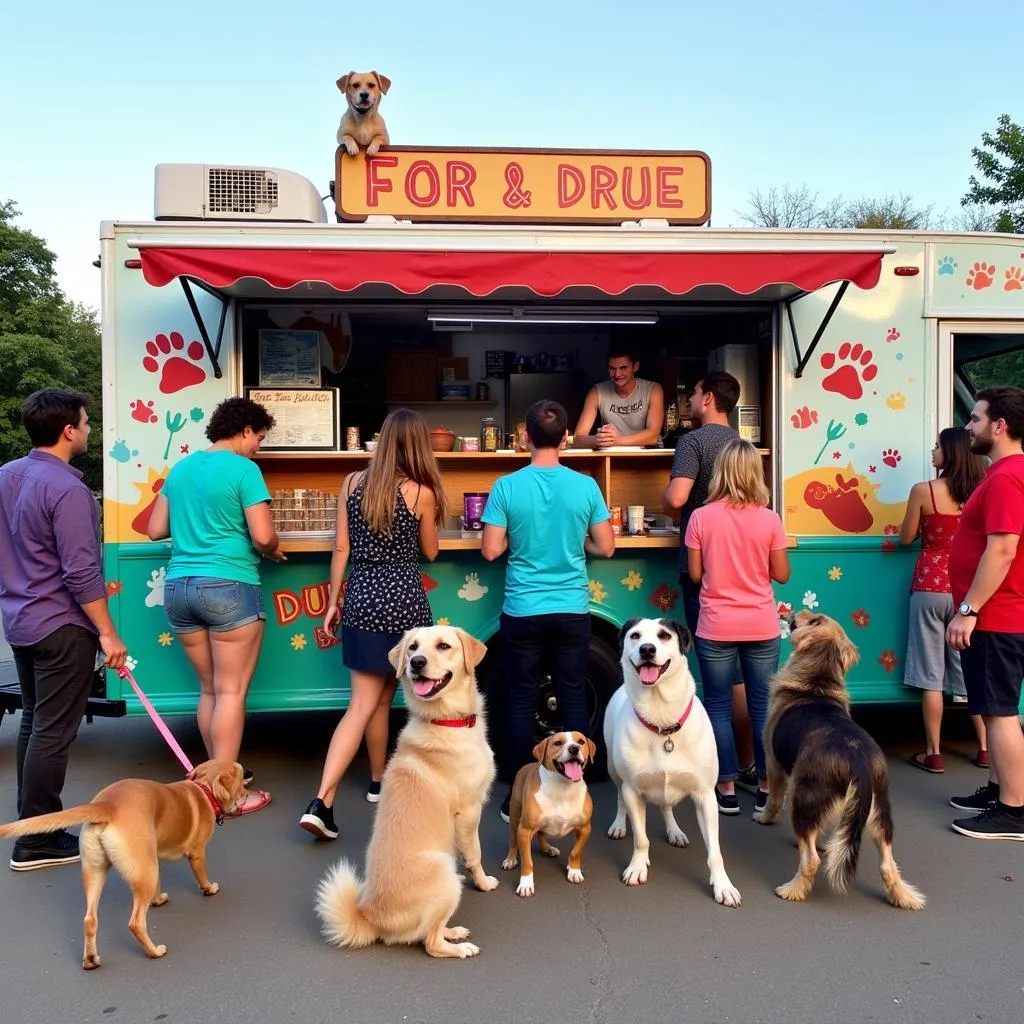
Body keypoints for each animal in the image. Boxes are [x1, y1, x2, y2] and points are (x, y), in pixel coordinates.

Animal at [0, 761, 245, 966]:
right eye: (242, 779)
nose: (247, 795)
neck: (204, 790)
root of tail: (107, 805)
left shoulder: (153, 858)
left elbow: (158, 885)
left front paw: (158, 900)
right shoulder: (196, 854)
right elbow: (201, 876)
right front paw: (209, 888)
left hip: (99, 871)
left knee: (89, 919)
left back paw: (91, 959)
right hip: (143, 873)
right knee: (135, 922)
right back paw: (154, 951)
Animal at [315, 622, 499, 958]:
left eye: (442, 646)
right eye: (413, 647)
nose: (416, 663)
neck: (443, 721)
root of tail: (370, 917)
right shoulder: (469, 812)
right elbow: (475, 854)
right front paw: (483, 883)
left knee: (432, 929)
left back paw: (454, 931)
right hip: (445, 871)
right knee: (430, 942)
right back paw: (460, 947)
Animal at [499, 729, 598, 897]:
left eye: (581, 742)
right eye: (558, 743)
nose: (574, 748)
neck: (563, 789)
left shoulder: (585, 828)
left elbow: (575, 852)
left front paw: (574, 870)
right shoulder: (524, 830)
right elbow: (527, 861)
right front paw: (526, 883)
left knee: (541, 834)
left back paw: (548, 848)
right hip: (515, 819)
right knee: (513, 840)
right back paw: (510, 859)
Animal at [602, 614, 741, 905]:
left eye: (664, 635)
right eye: (635, 636)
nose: (647, 649)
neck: (662, 722)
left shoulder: (705, 796)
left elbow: (715, 852)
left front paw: (723, 885)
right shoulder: (633, 790)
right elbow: (641, 839)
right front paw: (637, 867)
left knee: (667, 806)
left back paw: (675, 831)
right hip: (613, 769)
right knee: (619, 797)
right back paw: (619, 824)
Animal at [753, 610, 929, 909]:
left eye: (814, 619)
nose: (794, 612)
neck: (816, 683)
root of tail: (859, 760)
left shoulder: (773, 764)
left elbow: (773, 800)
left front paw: (763, 817)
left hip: (803, 797)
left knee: (811, 860)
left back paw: (793, 890)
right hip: (879, 812)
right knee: (887, 864)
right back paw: (903, 896)